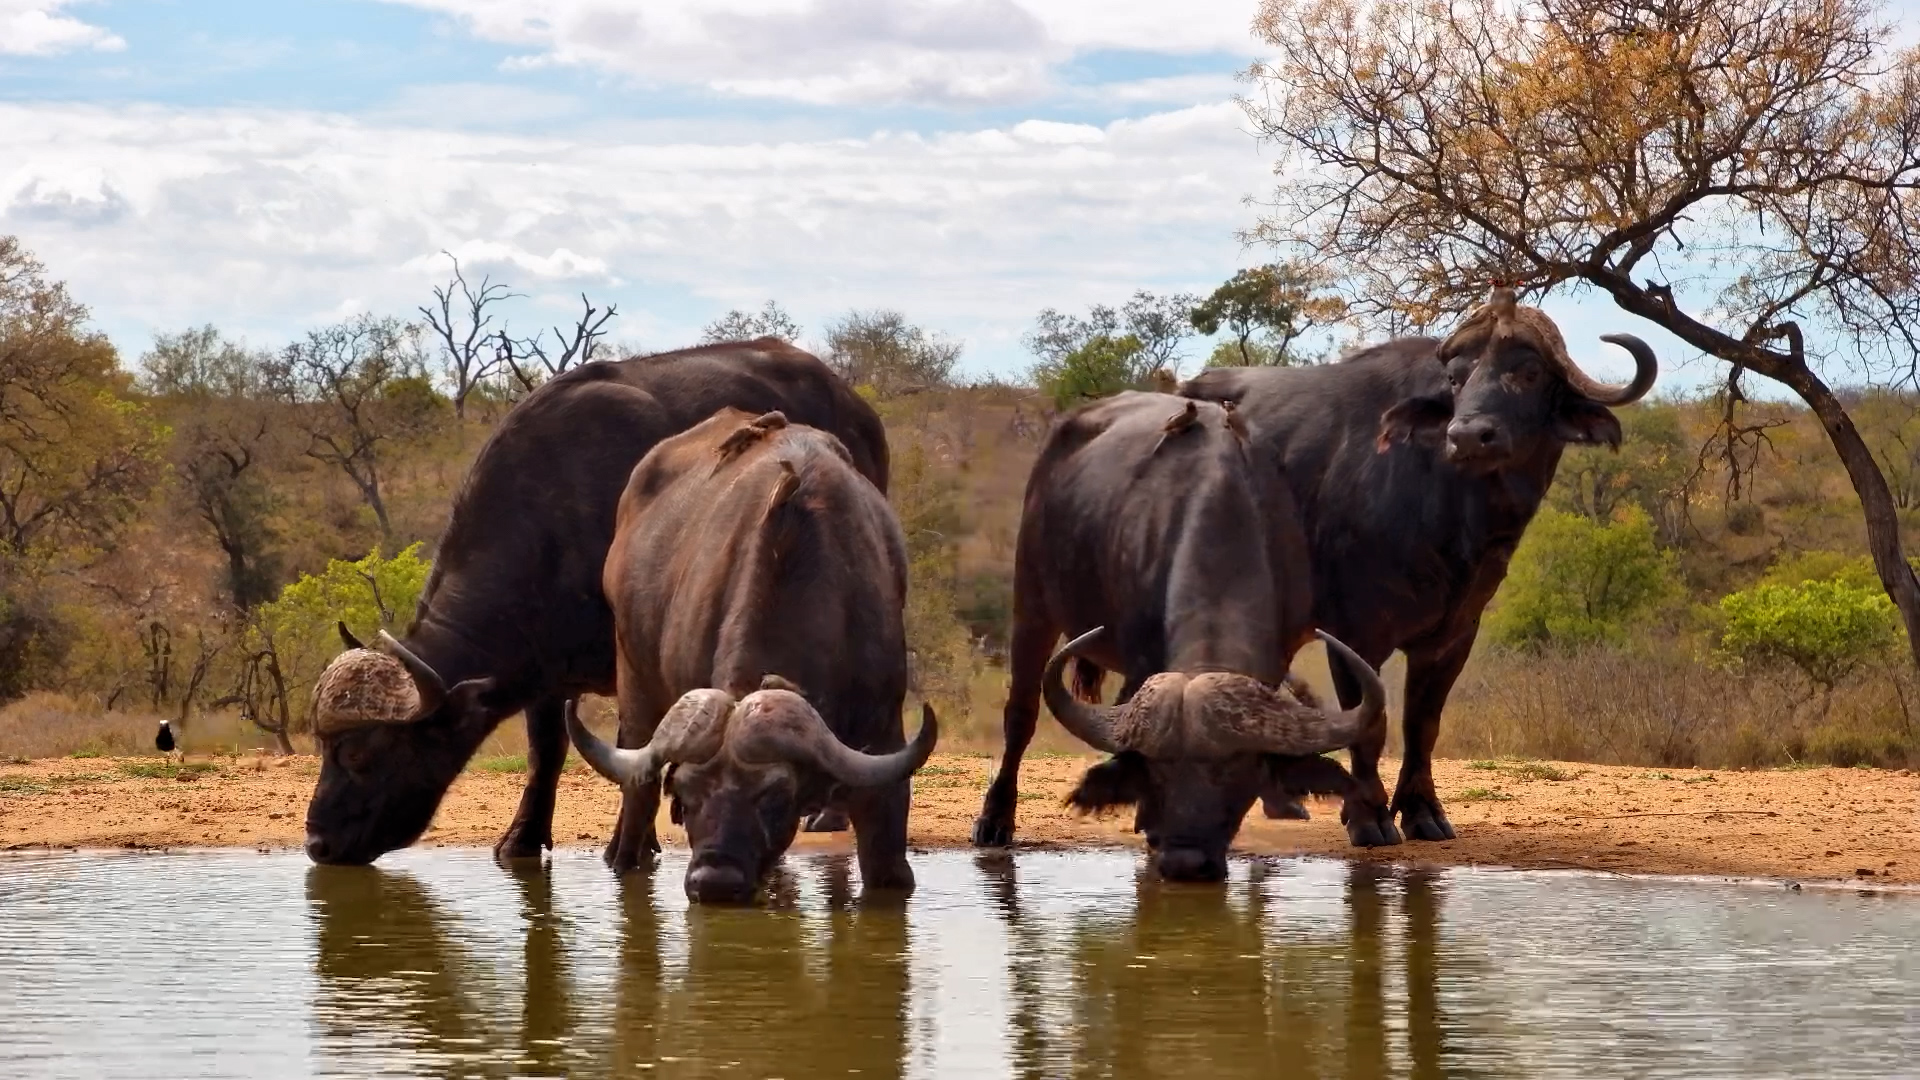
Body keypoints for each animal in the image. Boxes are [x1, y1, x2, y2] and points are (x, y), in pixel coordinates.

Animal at [302, 340, 888, 867]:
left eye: (359, 754)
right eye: (323, 747)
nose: (318, 843)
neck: (551, 519)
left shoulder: (628, 657)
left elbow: (634, 743)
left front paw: (630, 845)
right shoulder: (544, 670)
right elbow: (547, 750)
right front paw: (522, 839)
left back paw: (830, 814)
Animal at [565, 408, 937, 902]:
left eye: (775, 797)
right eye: (683, 796)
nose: (714, 881)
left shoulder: (884, 752)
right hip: (635, 684)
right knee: (637, 797)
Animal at [970, 391, 1386, 881]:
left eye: (1235, 770)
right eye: (1156, 772)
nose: (1185, 862)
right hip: (1031, 600)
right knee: (1021, 713)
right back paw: (995, 820)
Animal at [1180, 286, 1657, 846]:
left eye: (1529, 371)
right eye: (1457, 378)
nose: (1469, 436)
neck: (1450, 513)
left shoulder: (1454, 635)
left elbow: (1422, 723)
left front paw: (1423, 810)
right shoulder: (1355, 634)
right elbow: (1369, 723)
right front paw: (1368, 817)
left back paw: (1279, 801)